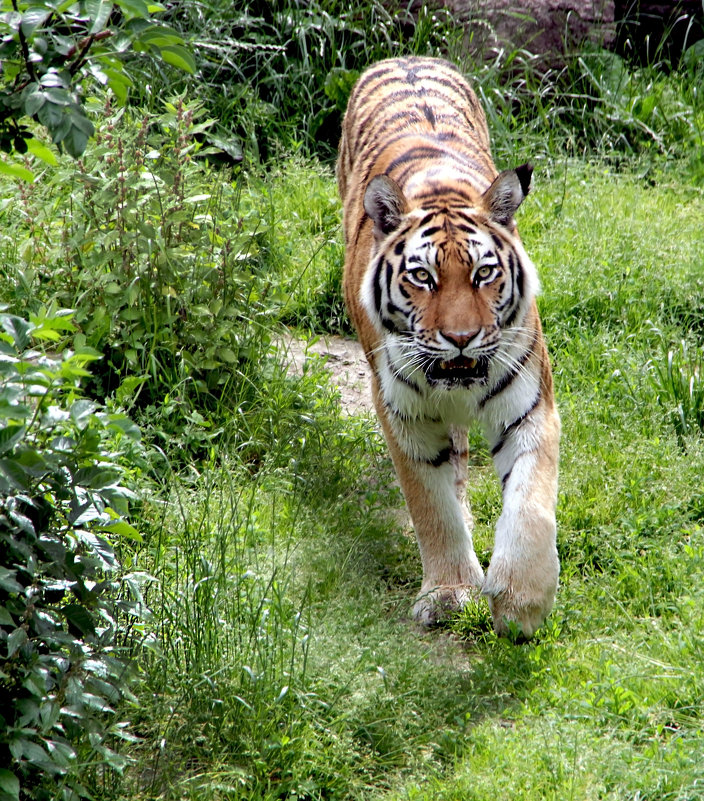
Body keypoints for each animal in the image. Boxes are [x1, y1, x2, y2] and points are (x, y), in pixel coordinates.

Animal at [336, 56, 560, 636]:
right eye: (422, 276)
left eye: (484, 273)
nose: (461, 339)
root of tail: (406, 58)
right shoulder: (404, 415)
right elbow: (430, 507)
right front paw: (450, 592)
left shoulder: (528, 405)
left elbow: (531, 499)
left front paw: (521, 602)